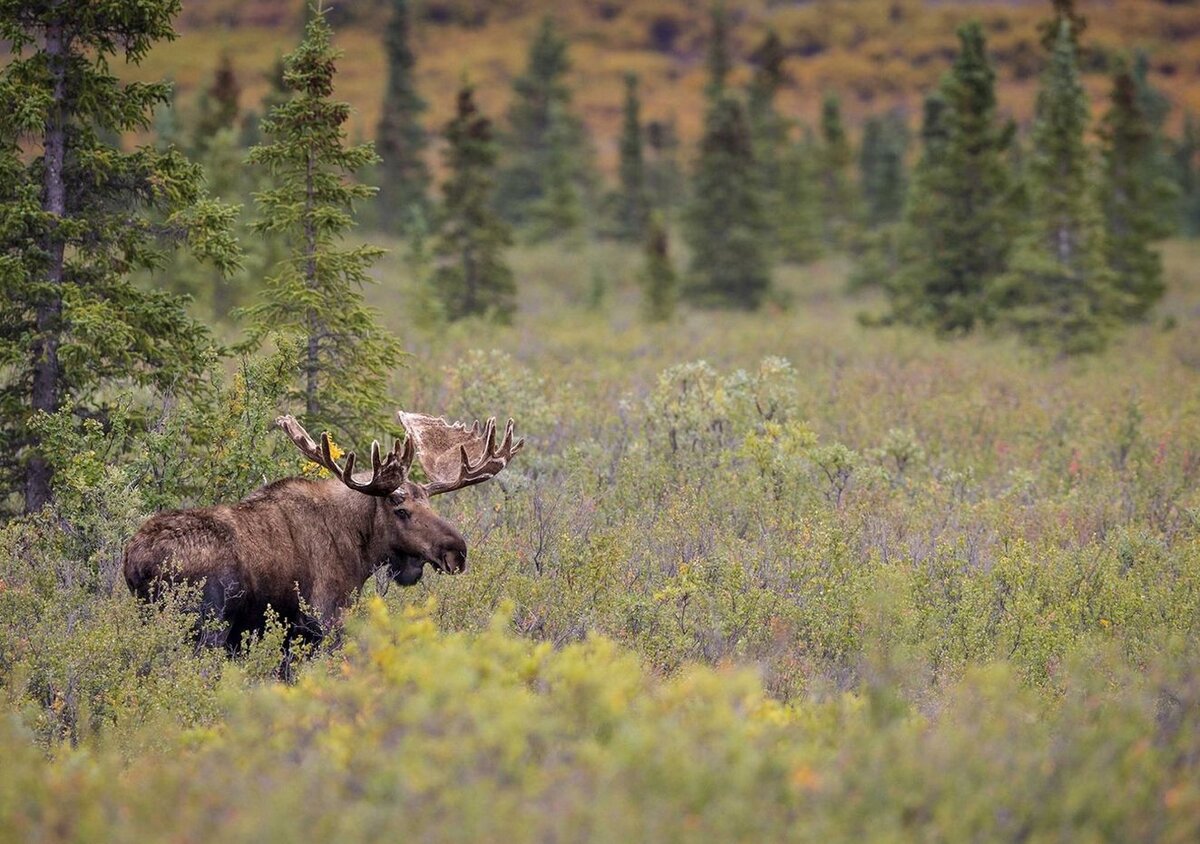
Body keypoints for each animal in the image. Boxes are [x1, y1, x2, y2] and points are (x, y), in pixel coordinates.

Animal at [121, 412, 525, 648]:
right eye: (401, 509)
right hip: (205, 625)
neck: (360, 549)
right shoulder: (325, 620)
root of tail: (135, 561)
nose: (457, 551)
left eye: (430, 503)